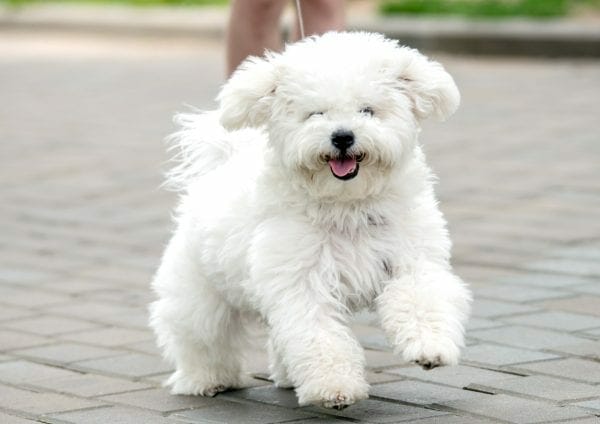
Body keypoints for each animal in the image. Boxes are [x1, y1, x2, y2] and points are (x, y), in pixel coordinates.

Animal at [148, 31, 472, 410]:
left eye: (367, 110)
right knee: (201, 335)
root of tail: (222, 165)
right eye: (315, 113)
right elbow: (319, 335)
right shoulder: (301, 282)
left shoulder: (412, 259)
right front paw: (335, 387)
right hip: (200, 291)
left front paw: (430, 346)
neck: (347, 205)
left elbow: (421, 297)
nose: (342, 136)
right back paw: (206, 380)